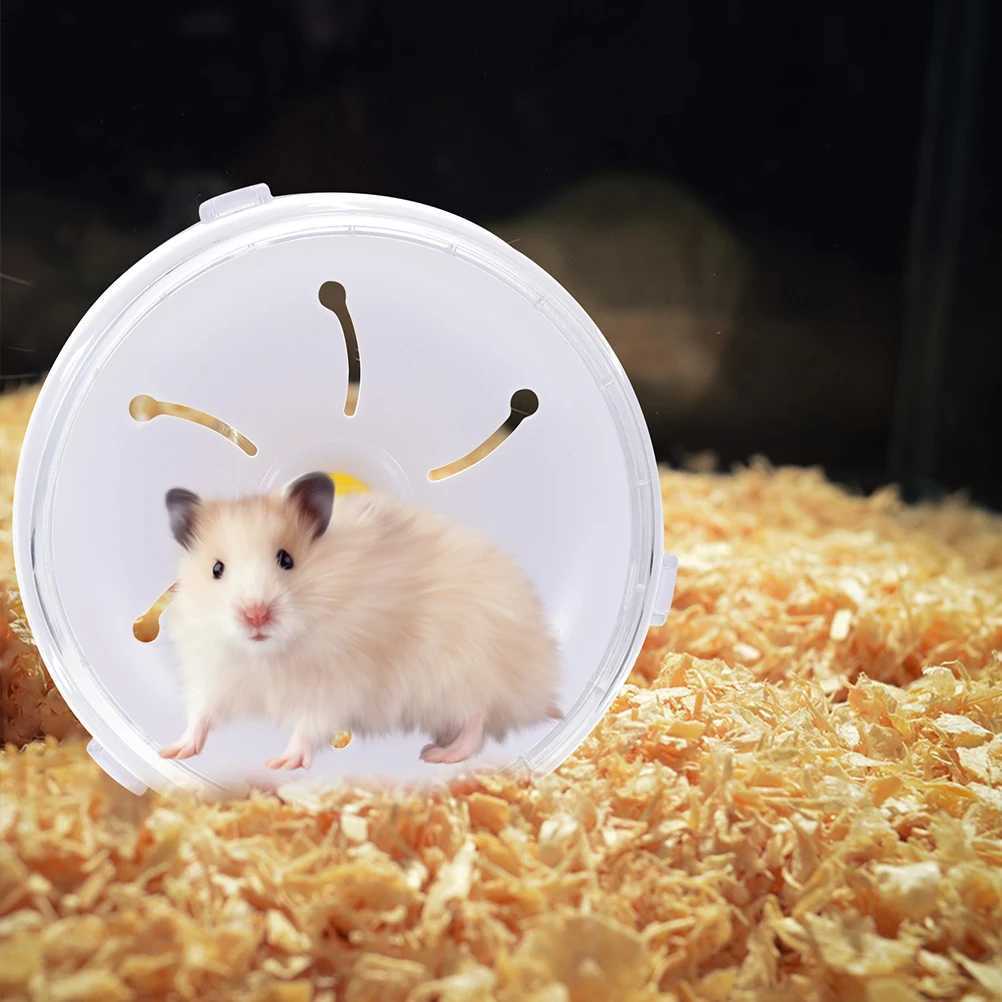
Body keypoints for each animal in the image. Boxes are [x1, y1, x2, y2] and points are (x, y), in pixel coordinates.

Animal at [160, 473, 562, 770]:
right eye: (216, 569)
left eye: (286, 559)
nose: (255, 614)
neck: (267, 655)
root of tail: (539, 688)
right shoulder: (212, 671)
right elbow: (200, 714)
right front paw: (172, 752)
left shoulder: (335, 684)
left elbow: (308, 726)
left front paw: (280, 763)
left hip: (464, 671)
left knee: (477, 719)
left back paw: (438, 754)